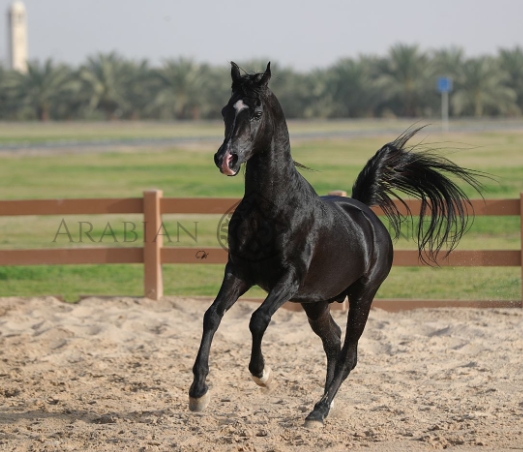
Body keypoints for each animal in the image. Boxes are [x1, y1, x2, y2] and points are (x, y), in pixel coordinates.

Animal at [189, 61, 484, 426]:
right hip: (316, 302)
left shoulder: (289, 280)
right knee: (333, 343)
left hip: (362, 296)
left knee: (348, 354)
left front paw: (262, 374)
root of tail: (365, 212)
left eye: (256, 113)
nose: (225, 159)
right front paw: (198, 393)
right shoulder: (239, 271)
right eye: (226, 111)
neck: (271, 208)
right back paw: (322, 405)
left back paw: (319, 411)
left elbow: (258, 319)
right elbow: (212, 316)